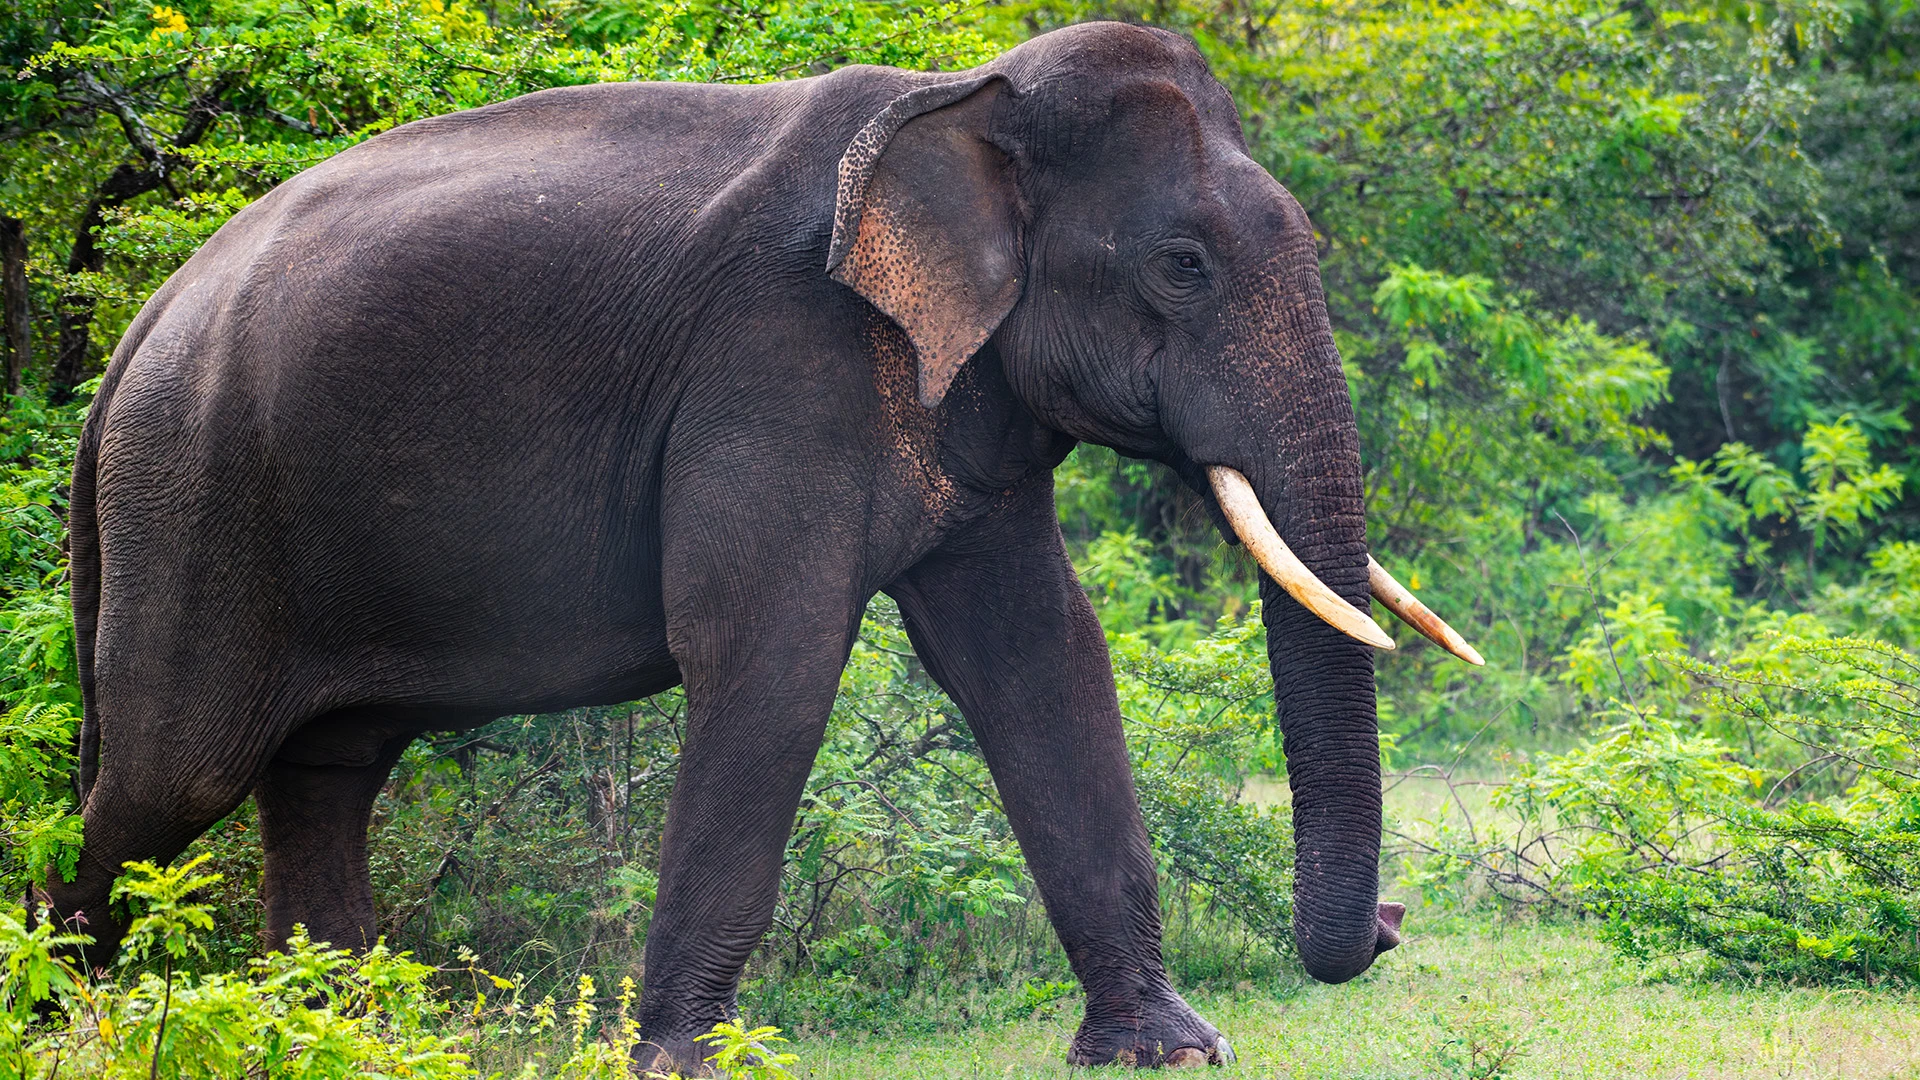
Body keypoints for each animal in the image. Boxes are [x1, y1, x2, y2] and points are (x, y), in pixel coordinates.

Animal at [43, 20, 1480, 1071]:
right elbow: (770, 656)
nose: (1395, 926)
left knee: (326, 773)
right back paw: (76, 1021)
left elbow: (1041, 658)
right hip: (195, 504)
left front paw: (1169, 1050)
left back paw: (341, 1030)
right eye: (1181, 264)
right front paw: (682, 1063)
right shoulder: (780, 365)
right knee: (173, 775)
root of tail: (132, 338)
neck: (962, 101)